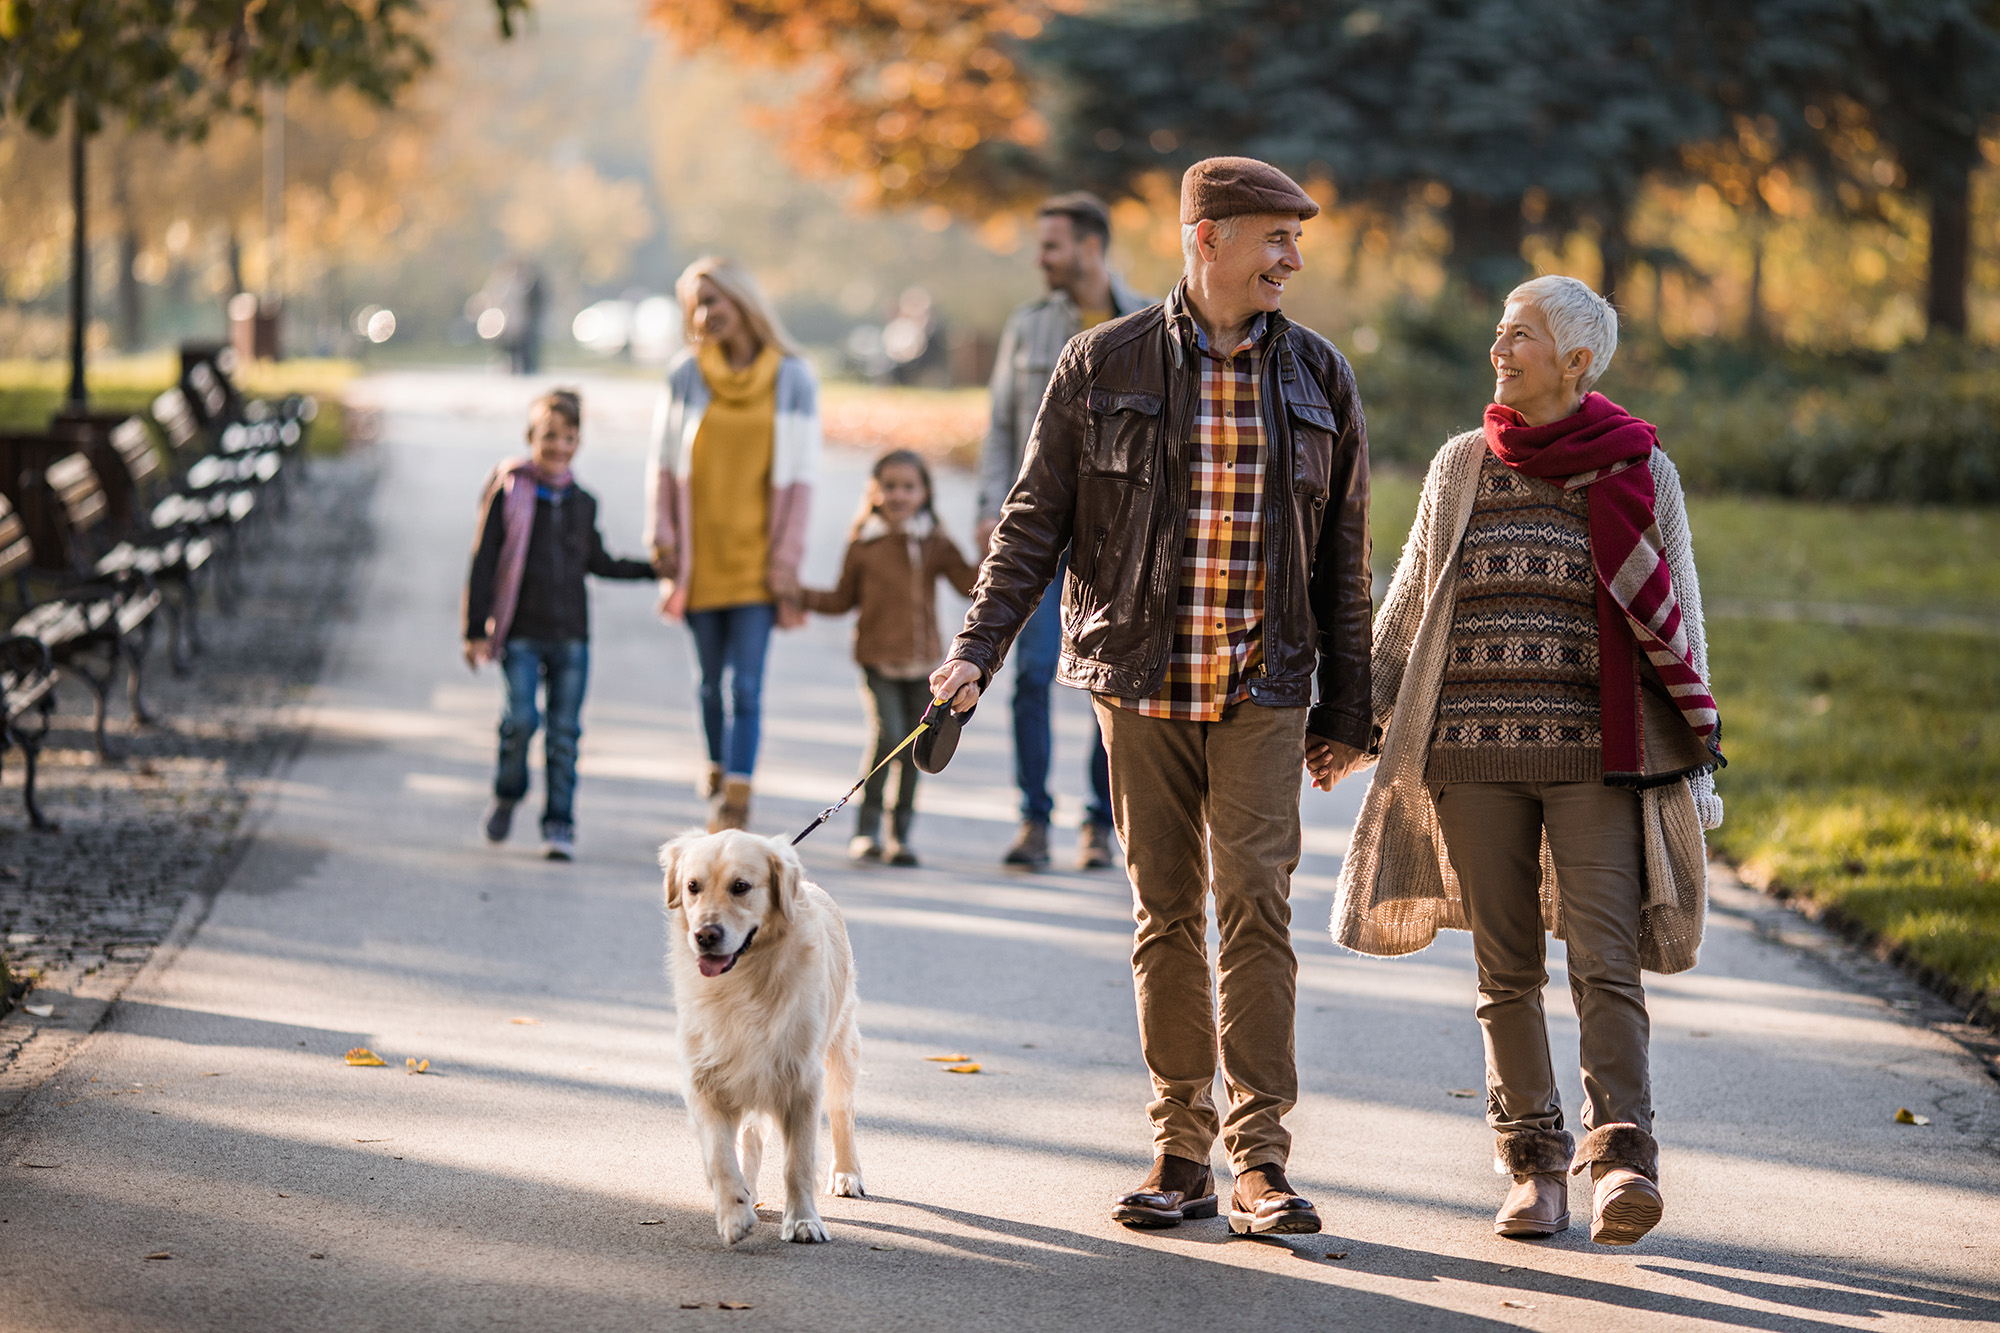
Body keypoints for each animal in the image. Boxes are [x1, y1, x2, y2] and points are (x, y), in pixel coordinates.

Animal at [664, 824, 868, 1240]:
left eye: (741, 886)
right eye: (692, 886)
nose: (705, 935)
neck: (743, 982)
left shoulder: (802, 1080)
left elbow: (798, 1162)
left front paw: (803, 1221)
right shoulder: (706, 1078)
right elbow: (720, 1155)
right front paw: (734, 1211)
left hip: (841, 1049)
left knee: (844, 1112)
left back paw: (847, 1174)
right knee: (751, 1137)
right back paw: (751, 1191)